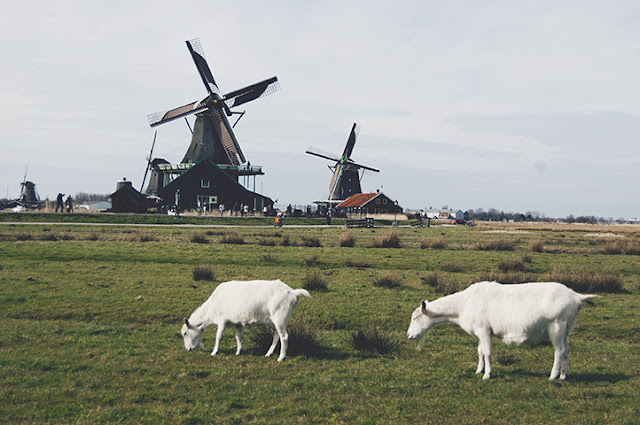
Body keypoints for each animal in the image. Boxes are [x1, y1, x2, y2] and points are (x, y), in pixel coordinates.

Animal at [181, 280, 312, 360]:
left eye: (185, 333)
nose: (188, 349)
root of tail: (293, 291)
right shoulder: (238, 323)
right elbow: (238, 336)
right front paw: (239, 351)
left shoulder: (222, 320)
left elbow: (218, 336)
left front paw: (214, 352)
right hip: (276, 321)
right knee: (276, 336)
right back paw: (268, 353)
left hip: (280, 318)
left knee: (284, 337)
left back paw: (281, 357)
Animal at [408, 282, 596, 378]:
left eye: (415, 318)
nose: (409, 335)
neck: (464, 304)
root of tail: (576, 296)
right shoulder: (481, 332)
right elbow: (480, 351)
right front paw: (479, 370)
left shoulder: (484, 330)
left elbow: (487, 352)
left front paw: (487, 374)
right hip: (567, 328)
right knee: (567, 350)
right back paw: (564, 375)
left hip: (556, 327)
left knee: (559, 351)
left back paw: (553, 376)